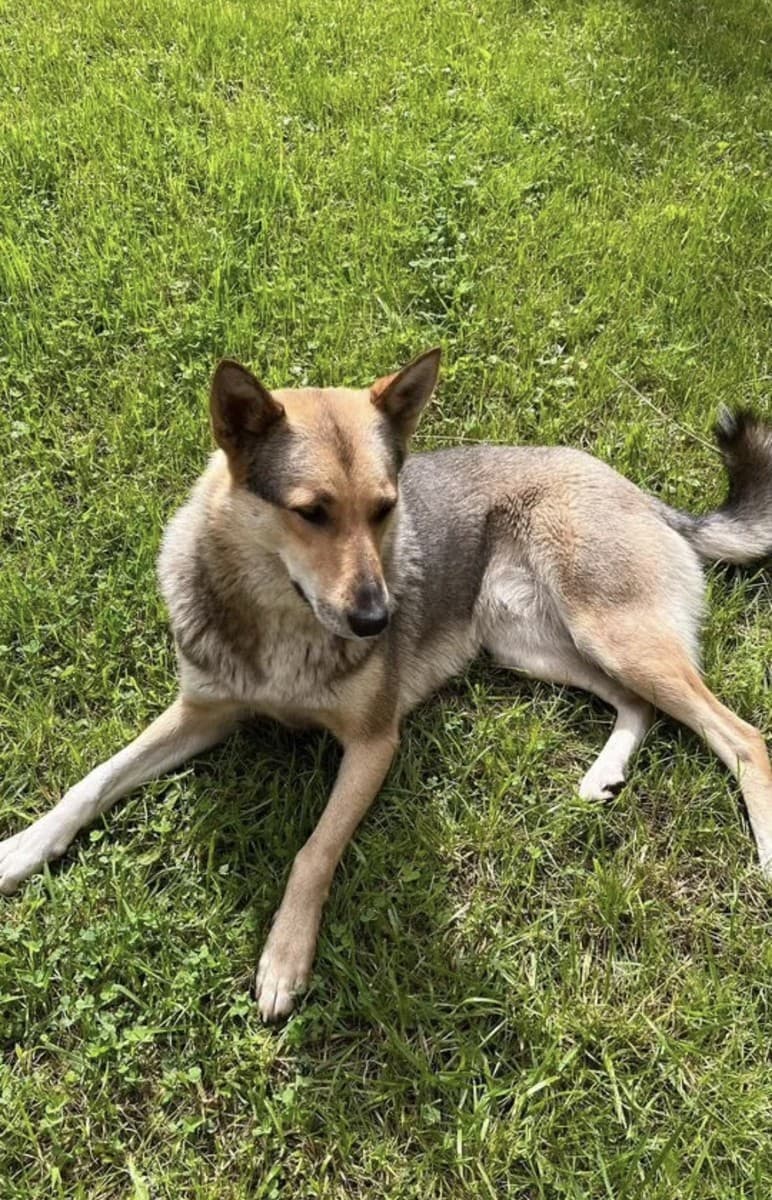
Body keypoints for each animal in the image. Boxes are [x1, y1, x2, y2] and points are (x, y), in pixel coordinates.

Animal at [2, 348, 771, 1020]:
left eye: (383, 507)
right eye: (310, 512)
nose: (379, 620)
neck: (282, 620)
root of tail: (641, 493)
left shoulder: (374, 744)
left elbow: (314, 852)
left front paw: (284, 958)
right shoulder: (202, 712)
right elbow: (92, 781)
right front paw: (22, 849)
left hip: (610, 632)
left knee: (742, 736)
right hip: (530, 644)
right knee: (637, 704)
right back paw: (604, 772)